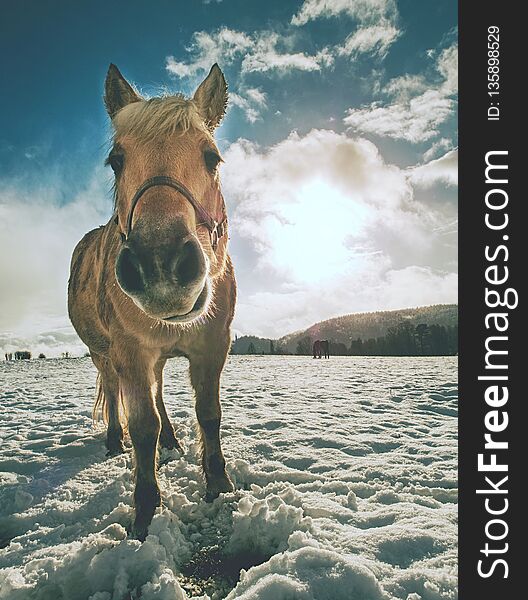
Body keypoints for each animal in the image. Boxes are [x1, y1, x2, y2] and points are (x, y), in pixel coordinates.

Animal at [67, 63, 236, 540]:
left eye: (212, 157)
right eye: (116, 160)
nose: (159, 263)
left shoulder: (213, 346)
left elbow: (208, 414)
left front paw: (219, 484)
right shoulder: (130, 351)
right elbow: (142, 426)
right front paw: (143, 513)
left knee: (158, 393)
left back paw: (172, 442)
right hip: (103, 353)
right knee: (113, 390)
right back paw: (114, 440)